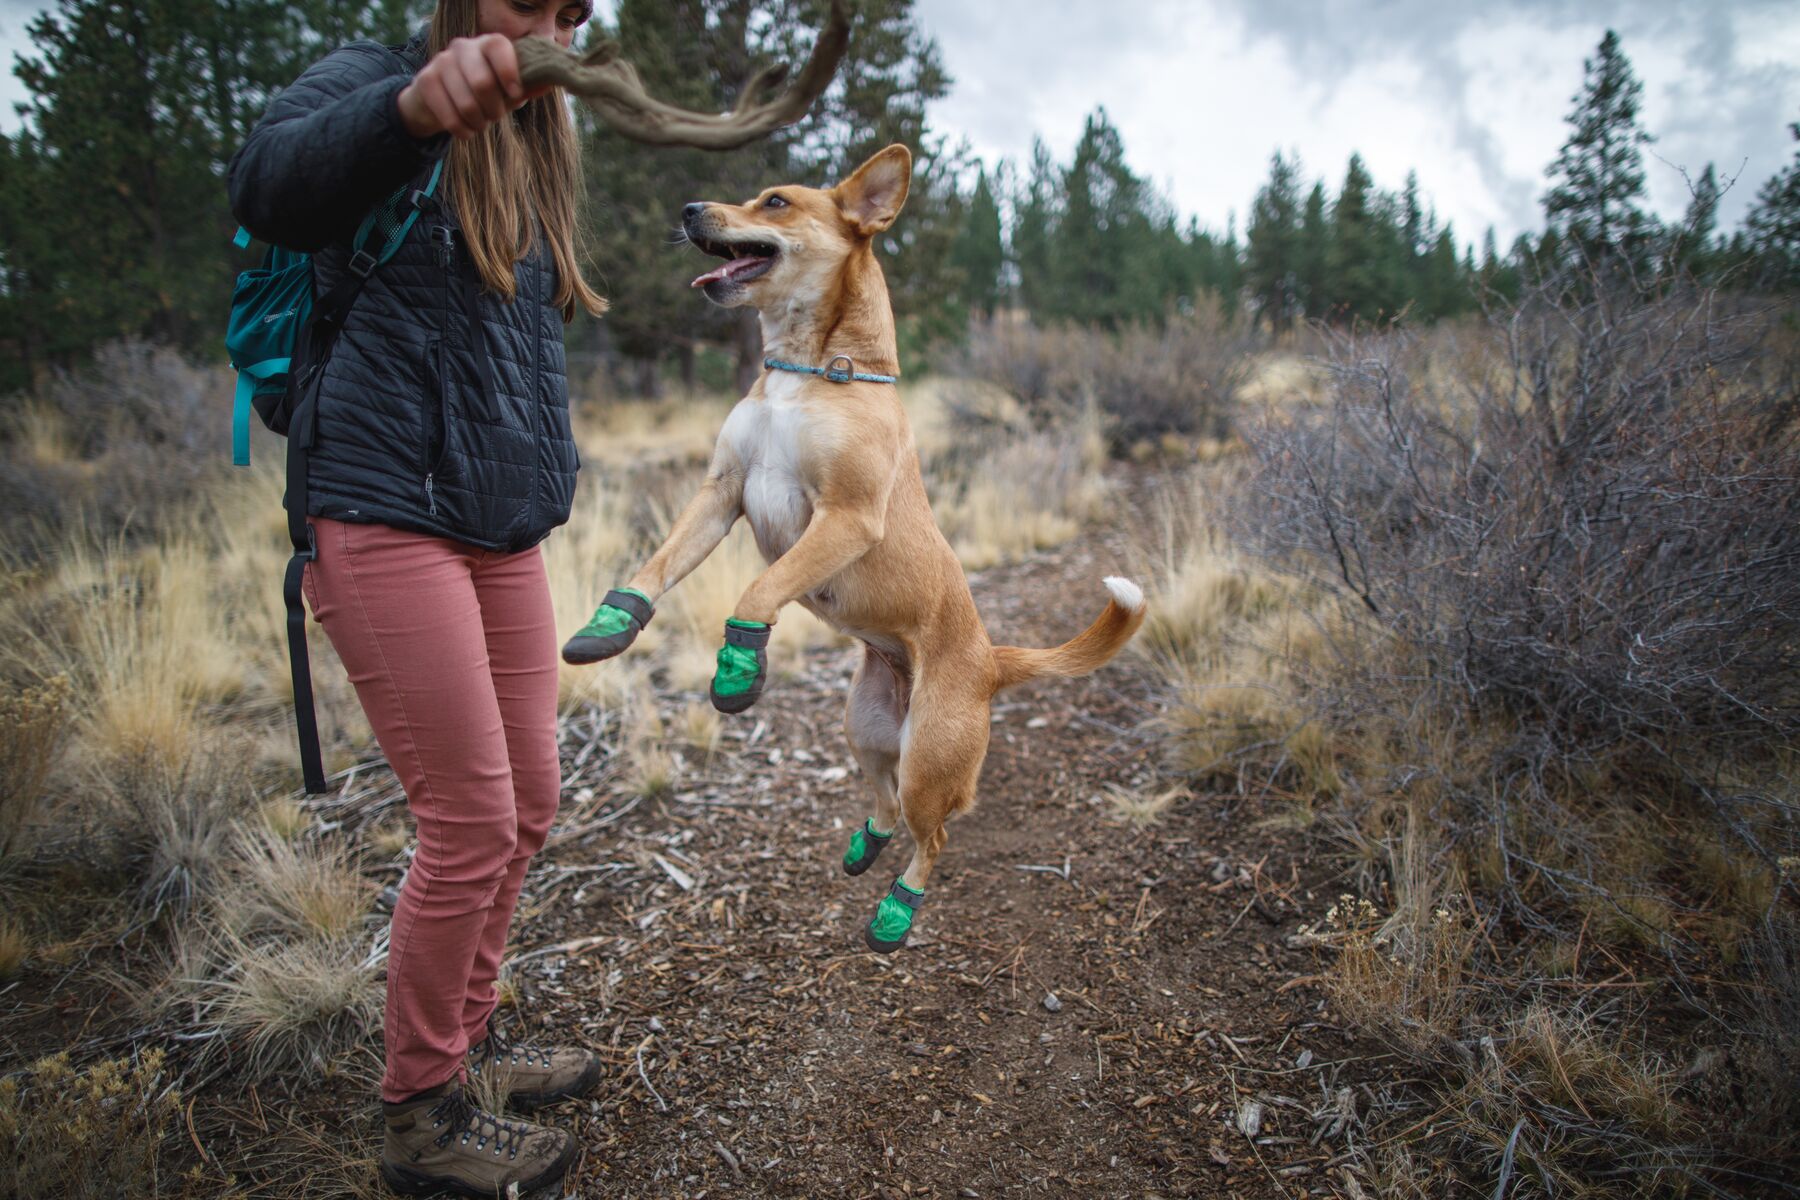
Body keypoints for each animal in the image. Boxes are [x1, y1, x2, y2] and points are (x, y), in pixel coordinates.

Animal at [568, 141, 1144, 949]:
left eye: (776, 202)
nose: (687, 209)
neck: (808, 371)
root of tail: (992, 662)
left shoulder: (843, 517)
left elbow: (761, 588)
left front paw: (740, 665)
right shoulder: (720, 492)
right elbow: (658, 564)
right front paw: (612, 623)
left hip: (930, 759)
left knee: (933, 833)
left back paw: (897, 910)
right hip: (865, 728)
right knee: (888, 804)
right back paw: (866, 845)